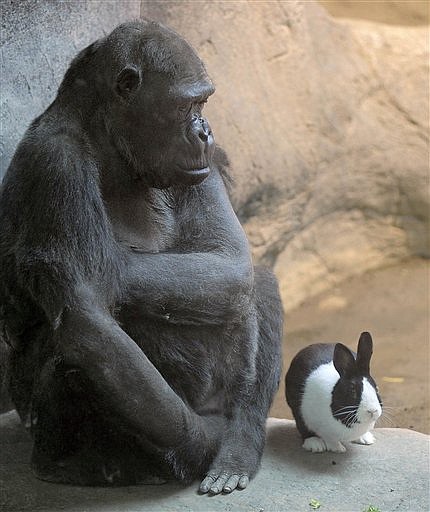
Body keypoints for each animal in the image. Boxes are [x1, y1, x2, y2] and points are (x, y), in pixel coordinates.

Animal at [0, 21, 282, 496]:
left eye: (204, 103)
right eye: (188, 104)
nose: (205, 131)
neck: (106, 143)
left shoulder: (200, 165)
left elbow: (228, 261)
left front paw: (231, 439)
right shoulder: (56, 162)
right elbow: (87, 317)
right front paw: (206, 442)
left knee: (250, 282)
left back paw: (240, 439)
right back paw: (69, 462)